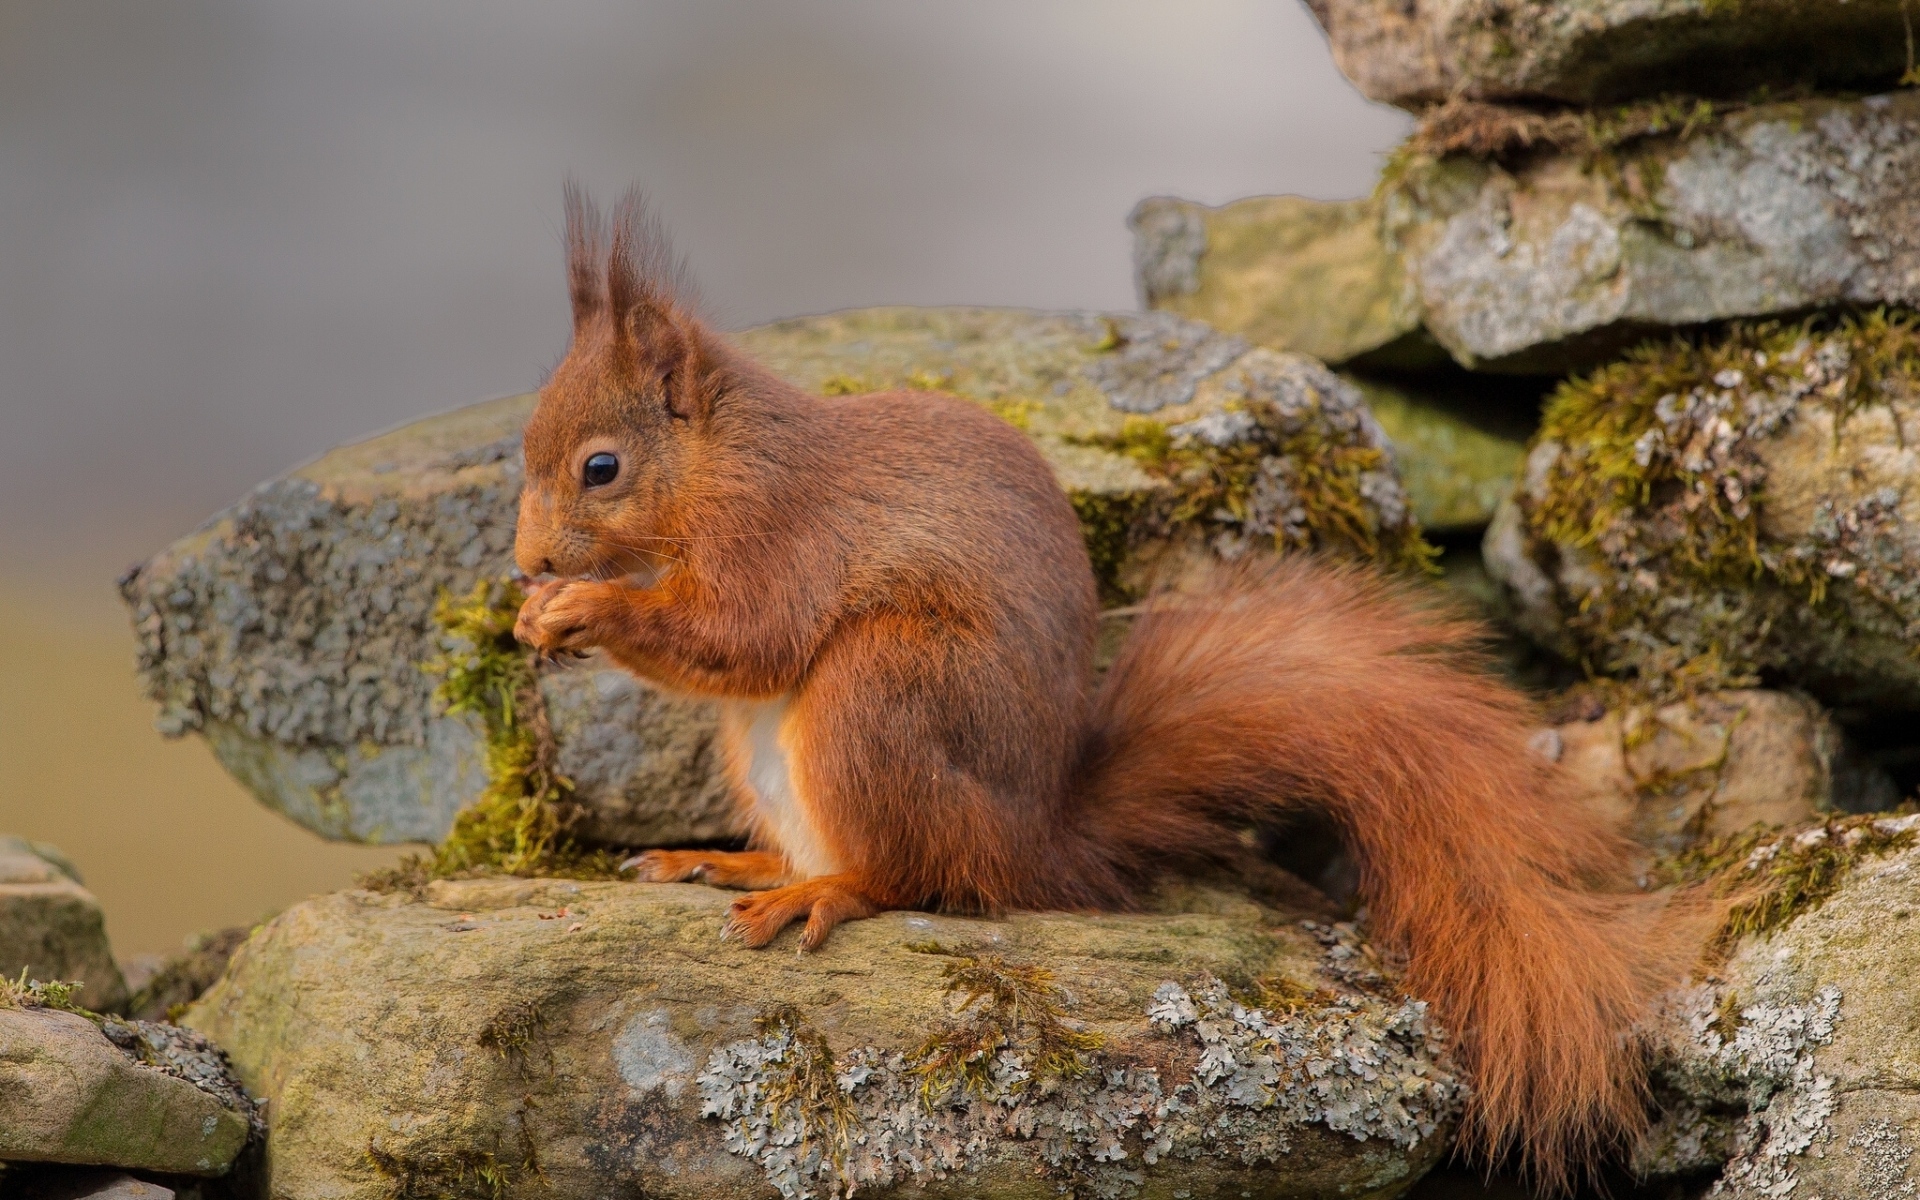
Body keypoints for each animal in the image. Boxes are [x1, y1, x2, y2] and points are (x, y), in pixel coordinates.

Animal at [511, 186, 1707, 1186]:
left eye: (601, 468)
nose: (525, 565)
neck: (718, 463)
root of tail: (1035, 838)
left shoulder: (782, 538)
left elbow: (745, 637)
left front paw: (586, 612)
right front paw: (539, 618)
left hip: (879, 692)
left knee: (913, 874)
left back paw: (824, 891)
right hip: (766, 750)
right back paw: (724, 861)